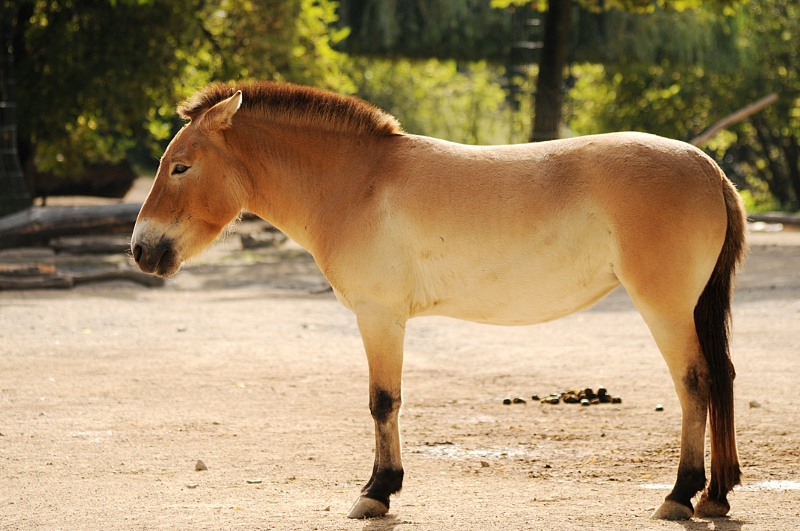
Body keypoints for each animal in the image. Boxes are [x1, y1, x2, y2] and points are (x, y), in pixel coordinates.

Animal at [131, 81, 747, 521]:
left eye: (181, 165)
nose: (141, 249)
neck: (357, 185)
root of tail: (708, 168)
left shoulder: (379, 317)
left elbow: (383, 402)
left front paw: (376, 493)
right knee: (719, 378)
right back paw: (714, 496)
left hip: (665, 309)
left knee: (695, 383)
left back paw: (679, 496)